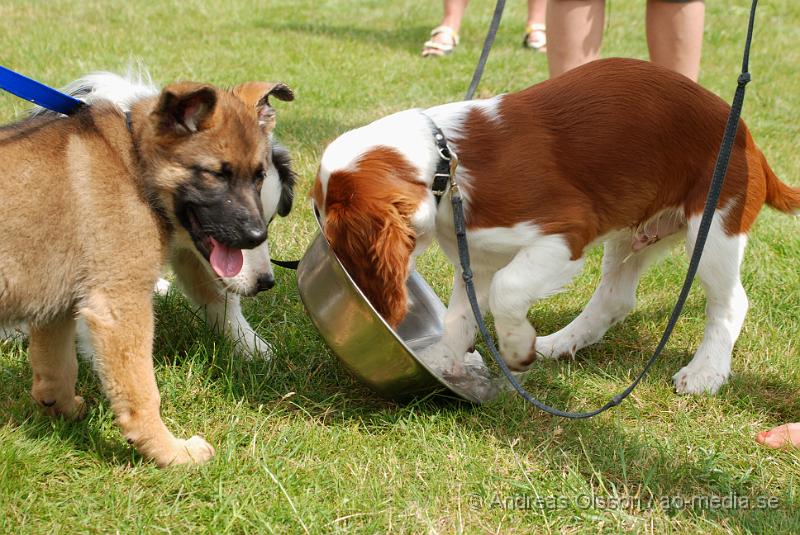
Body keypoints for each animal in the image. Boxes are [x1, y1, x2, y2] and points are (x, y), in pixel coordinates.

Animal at [0, 80, 278, 468]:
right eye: (216, 174)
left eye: (259, 176)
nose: (256, 236)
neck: (134, 164)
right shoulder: (120, 305)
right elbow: (142, 391)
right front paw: (170, 452)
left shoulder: (58, 303)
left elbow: (57, 368)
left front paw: (62, 407)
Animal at [312, 58, 800, 396]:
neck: (446, 163)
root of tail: (750, 141)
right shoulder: (480, 257)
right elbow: (462, 314)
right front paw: (448, 360)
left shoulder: (566, 230)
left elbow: (507, 290)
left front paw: (516, 350)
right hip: (633, 231)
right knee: (616, 297)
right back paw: (561, 342)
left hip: (714, 222)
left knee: (730, 301)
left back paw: (705, 372)